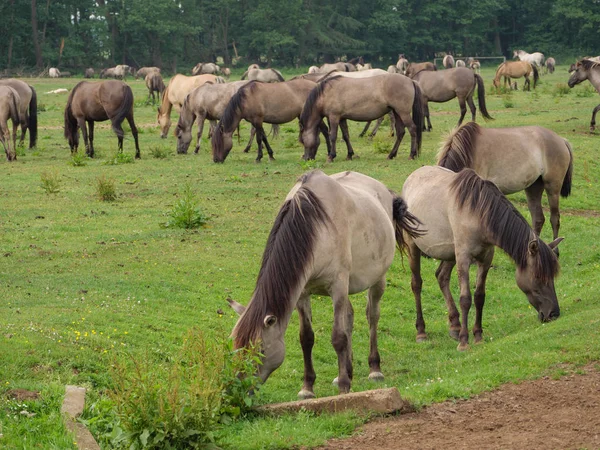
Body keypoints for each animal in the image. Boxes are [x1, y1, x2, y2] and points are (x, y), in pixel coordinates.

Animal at [226, 169, 422, 398]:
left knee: (372, 316)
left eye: (261, 351)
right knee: (349, 316)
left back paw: (374, 369)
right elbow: (307, 338)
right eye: (236, 348)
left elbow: (338, 337)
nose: (238, 388)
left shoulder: (337, 286)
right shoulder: (303, 293)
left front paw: (345, 386)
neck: (316, 228)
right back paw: (347, 371)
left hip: (377, 280)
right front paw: (308, 387)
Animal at [398, 165, 564, 352]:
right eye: (537, 276)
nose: (553, 313)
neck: (477, 213)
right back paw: (421, 332)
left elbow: (479, 296)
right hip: (414, 247)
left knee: (442, 277)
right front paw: (464, 342)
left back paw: (455, 326)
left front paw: (478, 336)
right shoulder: (463, 258)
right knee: (416, 284)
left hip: (450, 253)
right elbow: (465, 299)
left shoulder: (485, 259)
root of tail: (412, 177)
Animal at [438, 122, 576, 243]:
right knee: (538, 219)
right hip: (533, 187)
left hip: (552, 187)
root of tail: (561, 140)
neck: (470, 152)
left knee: (555, 219)